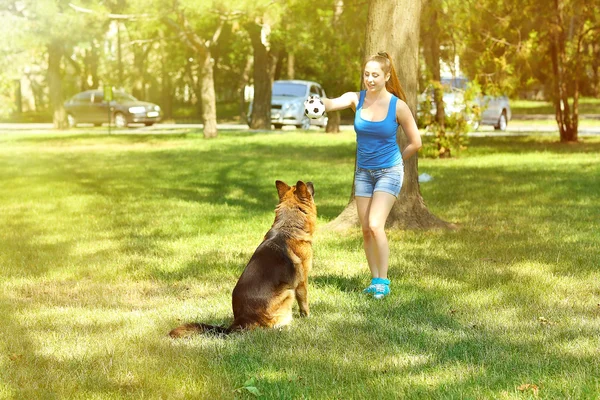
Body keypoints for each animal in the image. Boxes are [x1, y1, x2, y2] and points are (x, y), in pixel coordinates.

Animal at [169, 181, 316, 338]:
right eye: (307, 187)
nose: (310, 182)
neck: (288, 227)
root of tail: (238, 323)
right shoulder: (302, 281)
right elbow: (304, 302)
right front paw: (307, 317)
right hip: (288, 292)